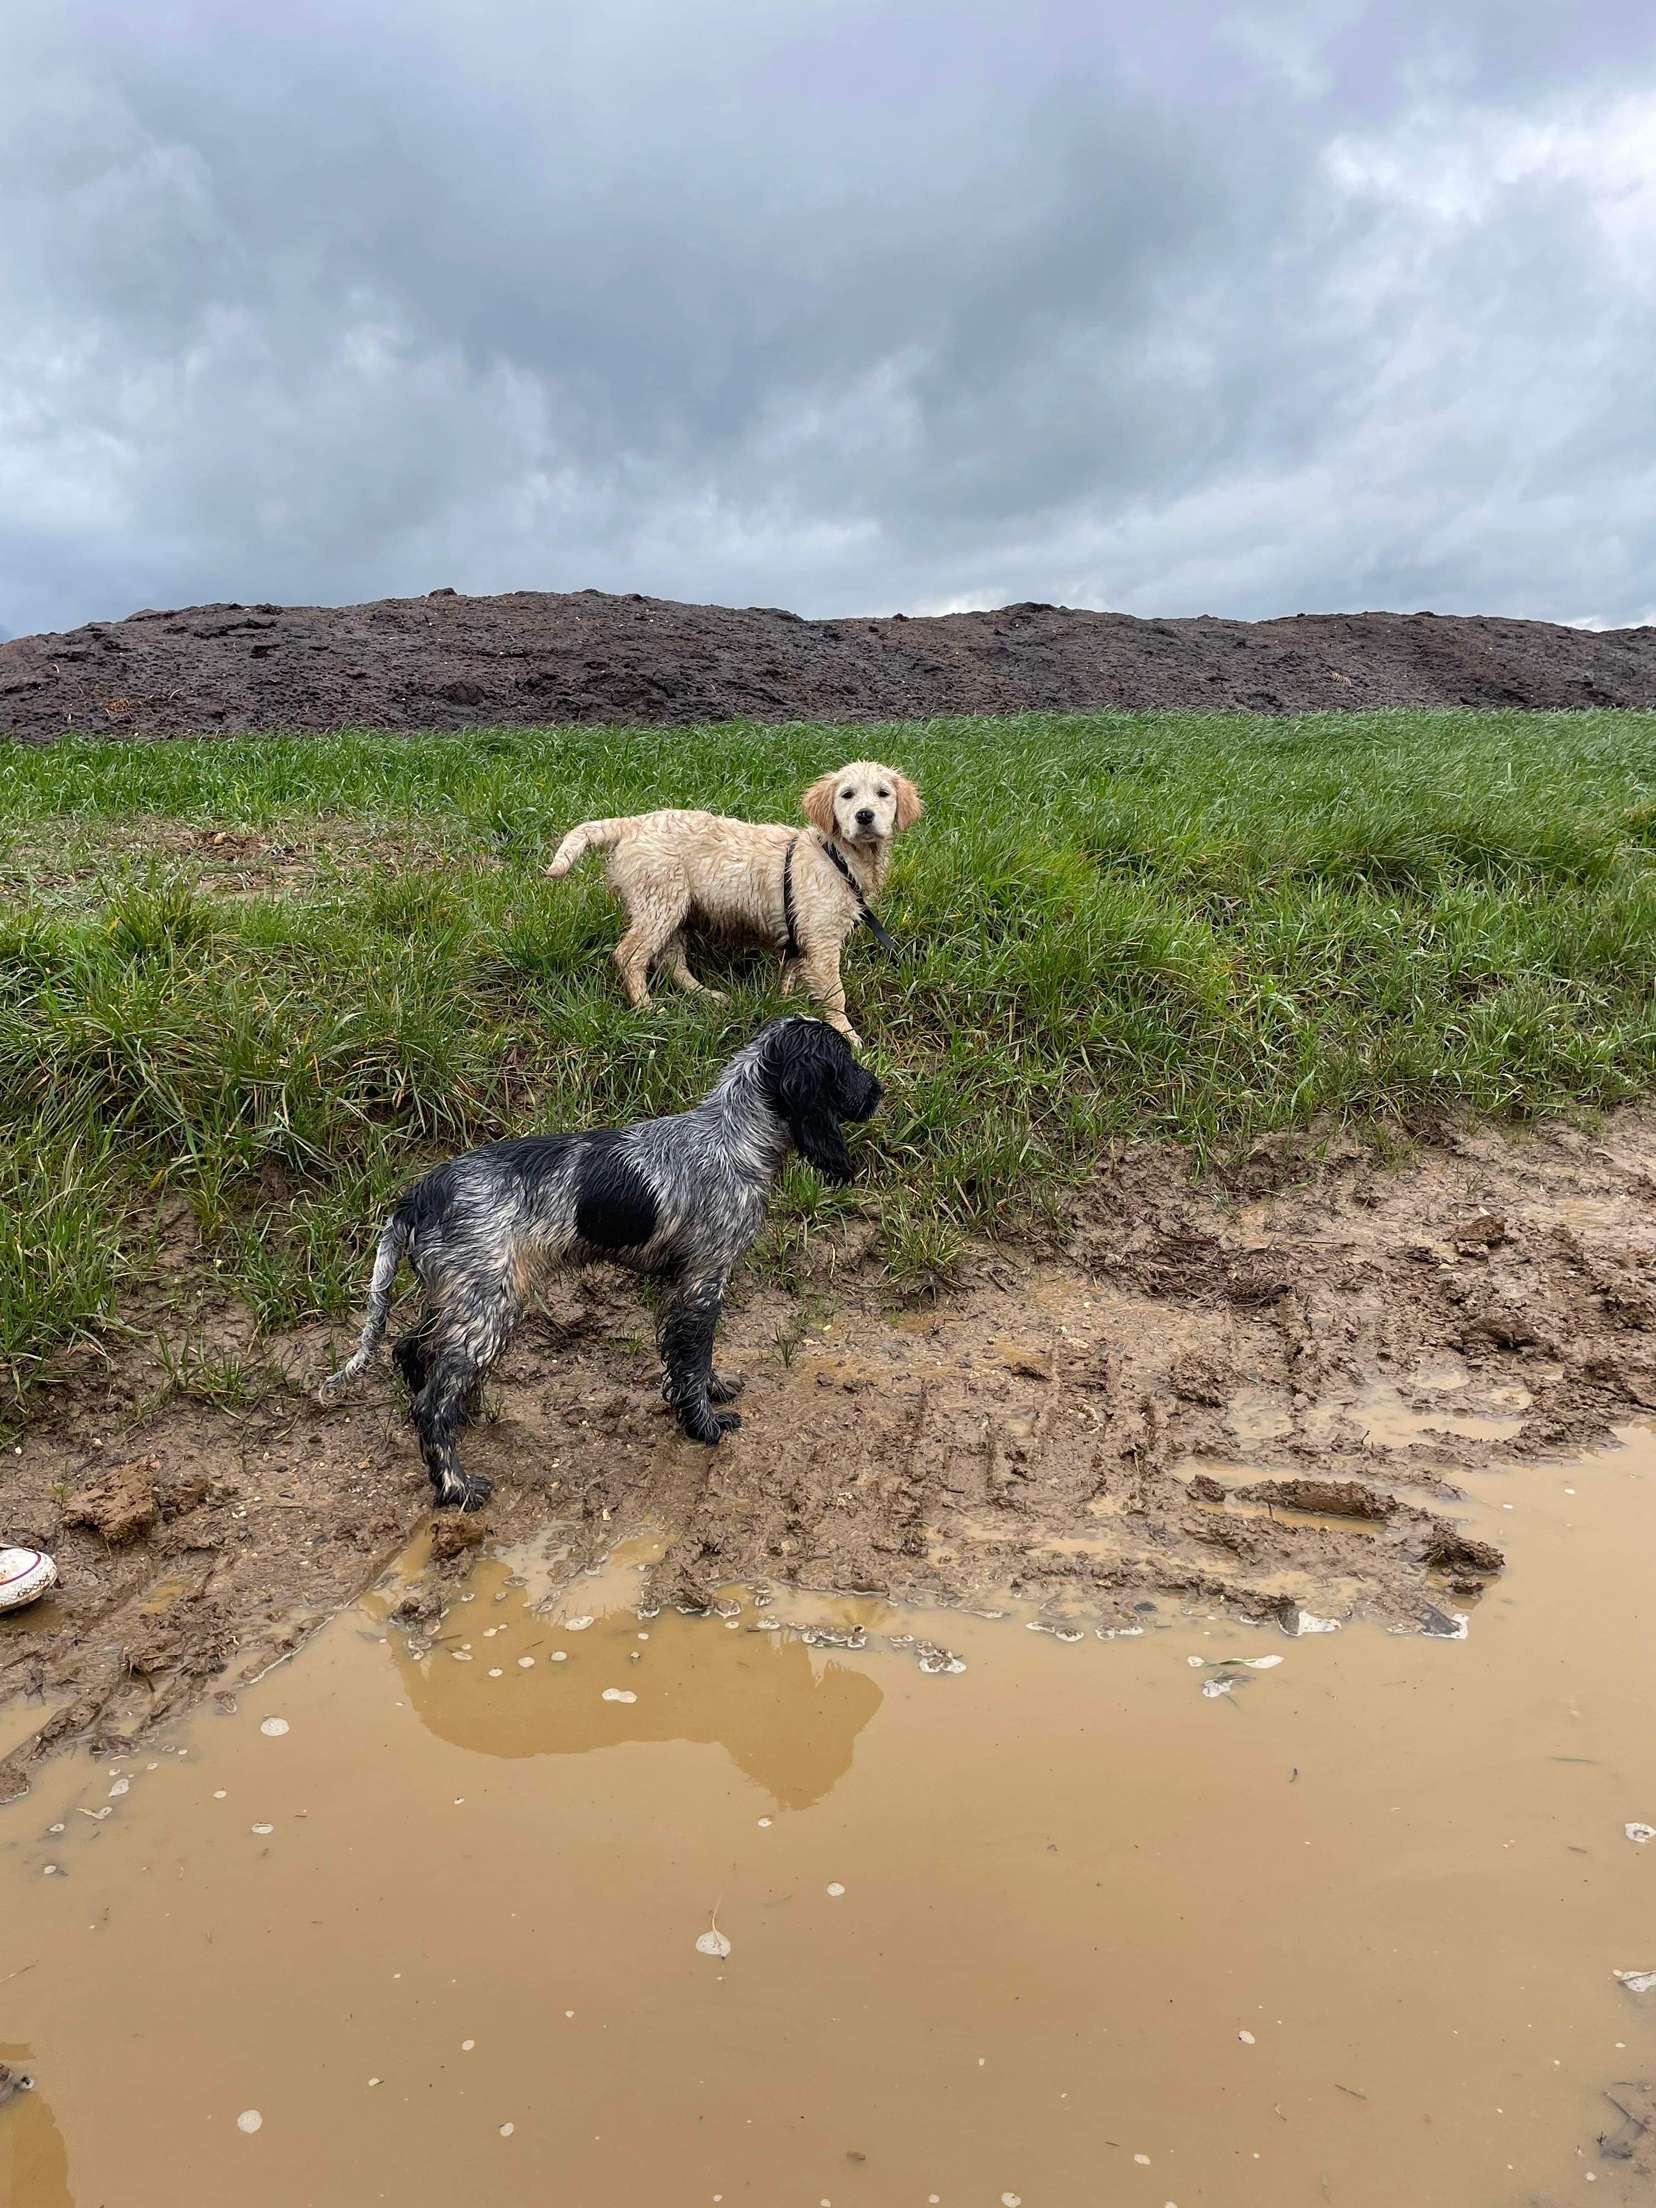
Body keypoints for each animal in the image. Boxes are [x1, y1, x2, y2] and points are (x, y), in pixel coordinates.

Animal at [326, 1018, 882, 1510]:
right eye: (845, 1063)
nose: (878, 1090)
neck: (733, 1135)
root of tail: (418, 1197)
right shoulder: (704, 1279)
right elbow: (693, 1357)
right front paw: (704, 1425)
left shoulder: (680, 1284)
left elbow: (690, 1361)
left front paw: (712, 1391)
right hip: (488, 1306)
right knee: (432, 1403)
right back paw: (456, 1487)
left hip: (461, 1296)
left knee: (412, 1353)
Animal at [546, 761, 923, 1048]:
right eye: (847, 795)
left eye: (883, 794)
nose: (864, 816)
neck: (839, 855)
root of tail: (633, 823)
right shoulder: (822, 939)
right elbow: (835, 994)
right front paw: (847, 1035)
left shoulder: (801, 936)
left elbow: (789, 974)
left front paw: (784, 1002)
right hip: (660, 901)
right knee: (631, 956)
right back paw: (646, 1009)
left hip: (677, 907)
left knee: (671, 962)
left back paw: (707, 995)